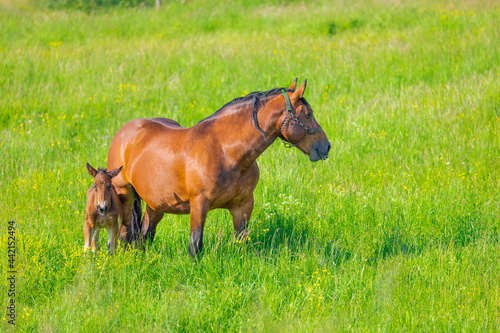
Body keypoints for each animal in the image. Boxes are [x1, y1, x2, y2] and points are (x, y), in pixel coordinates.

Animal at [107, 79, 330, 255]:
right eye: (308, 113)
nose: (325, 146)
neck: (225, 151)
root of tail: (124, 132)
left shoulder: (244, 205)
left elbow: (241, 241)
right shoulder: (199, 204)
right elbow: (195, 246)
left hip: (156, 203)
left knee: (146, 235)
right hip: (125, 194)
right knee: (126, 234)